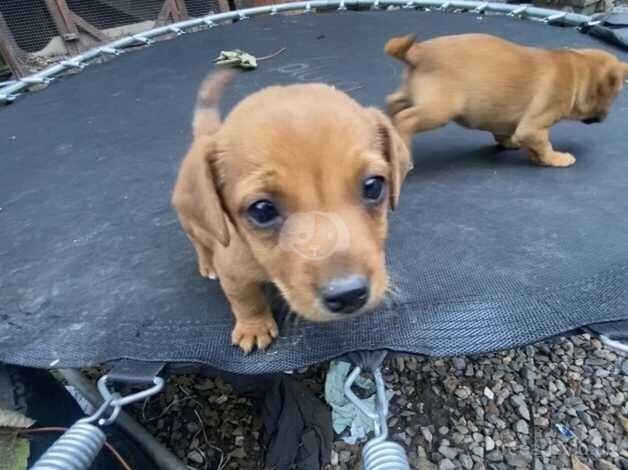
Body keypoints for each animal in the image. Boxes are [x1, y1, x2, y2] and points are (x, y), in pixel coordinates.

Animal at [172, 70, 412, 352]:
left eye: (373, 186)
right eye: (262, 210)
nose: (349, 295)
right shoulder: (232, 273)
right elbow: (246, 300)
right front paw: (253, 327)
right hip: (192, 225)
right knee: (199, 243)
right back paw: (207, 264)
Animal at [386, 33, 624, 166]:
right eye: (612, 98)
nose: (605, 118)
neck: (578, 72)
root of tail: (419, 51)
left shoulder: (505, 120)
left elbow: (506, 133)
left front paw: (514, 145)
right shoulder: (534, 126)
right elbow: (544, 144)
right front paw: (555, 159)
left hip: (411, 94)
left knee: (393, 103)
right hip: (439, 109)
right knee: (406, 119)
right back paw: (403, 156)